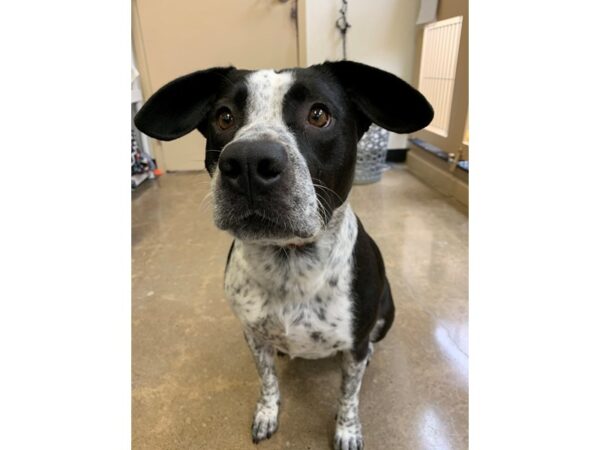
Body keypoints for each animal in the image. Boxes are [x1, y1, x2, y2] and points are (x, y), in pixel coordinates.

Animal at [132, 60, 432, 450]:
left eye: (319, 114)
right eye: (224, 117)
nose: (247, 161)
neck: (289, 262)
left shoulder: (353, 347)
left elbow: (348, 396)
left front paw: (347, 430)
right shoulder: (254, 337)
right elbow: (268, 381)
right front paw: (267, 413)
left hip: (387, 310)